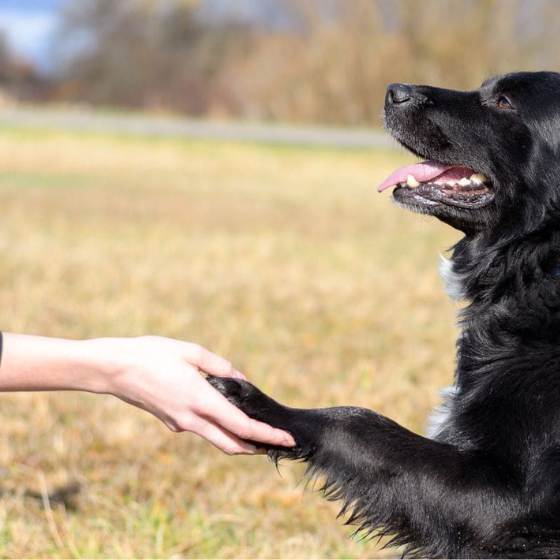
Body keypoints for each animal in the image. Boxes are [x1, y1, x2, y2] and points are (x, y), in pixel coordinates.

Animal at [210, 72, 560, 556]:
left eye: (504, 101)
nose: (395, 90)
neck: (546, 262)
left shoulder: (506, 501)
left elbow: (359, 422)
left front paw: (265, 407)